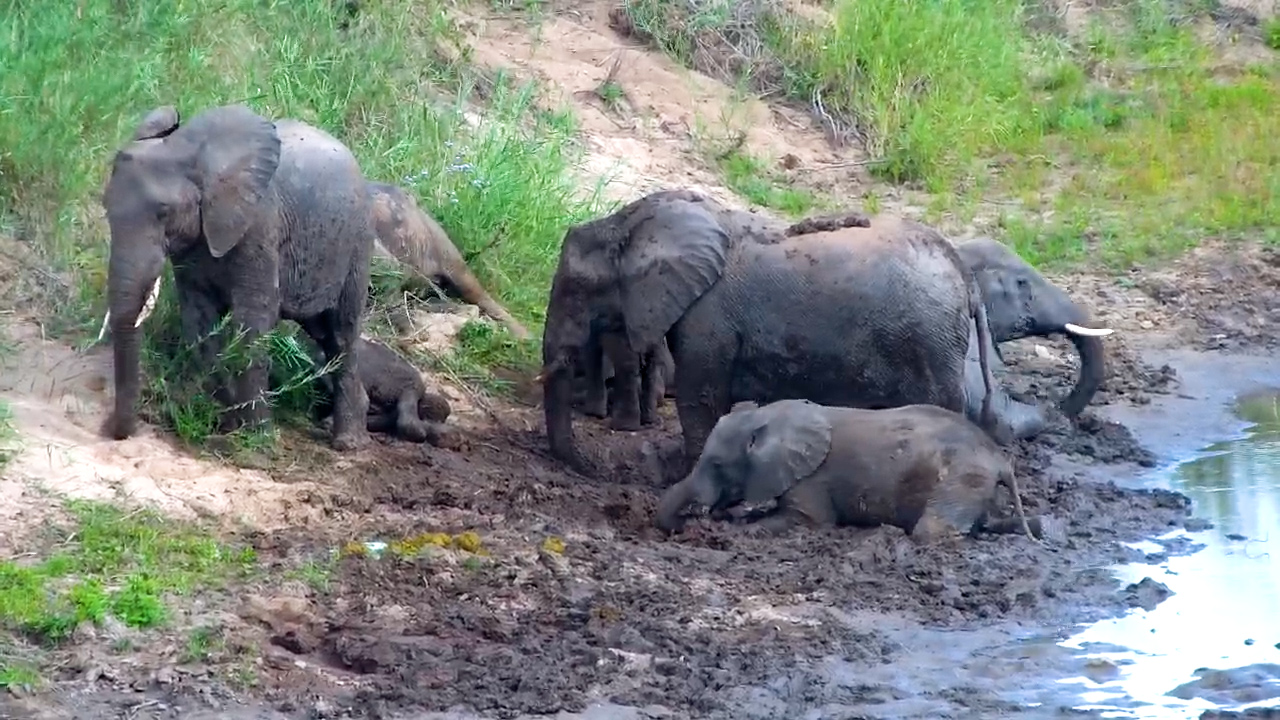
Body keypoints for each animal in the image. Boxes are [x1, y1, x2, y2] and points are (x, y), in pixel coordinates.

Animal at [101, 103, 374, 450]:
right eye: (106, 207)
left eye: (164, 213)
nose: (113, 429)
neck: (187, 153)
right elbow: (199, 325)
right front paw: (228, 423)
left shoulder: (259, 228)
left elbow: (253, 323)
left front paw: (258, 438)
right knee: (323, 332)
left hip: (357, 243)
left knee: (342, 333)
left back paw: (348, 443)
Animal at [539, 189, 1004, 475]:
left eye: (576, 291)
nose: (590, 467)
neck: (630, 222)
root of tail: (966, 278)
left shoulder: (710, 315)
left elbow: (700, 397)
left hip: (931, 345)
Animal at [654, 399, 1041, 543]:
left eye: (717, 465)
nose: (693, 523)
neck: (768, 416)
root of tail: (1000, 459)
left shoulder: (812, 479)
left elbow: (806, 520)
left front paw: (734, 527)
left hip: (962, 477)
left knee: (929, 532)